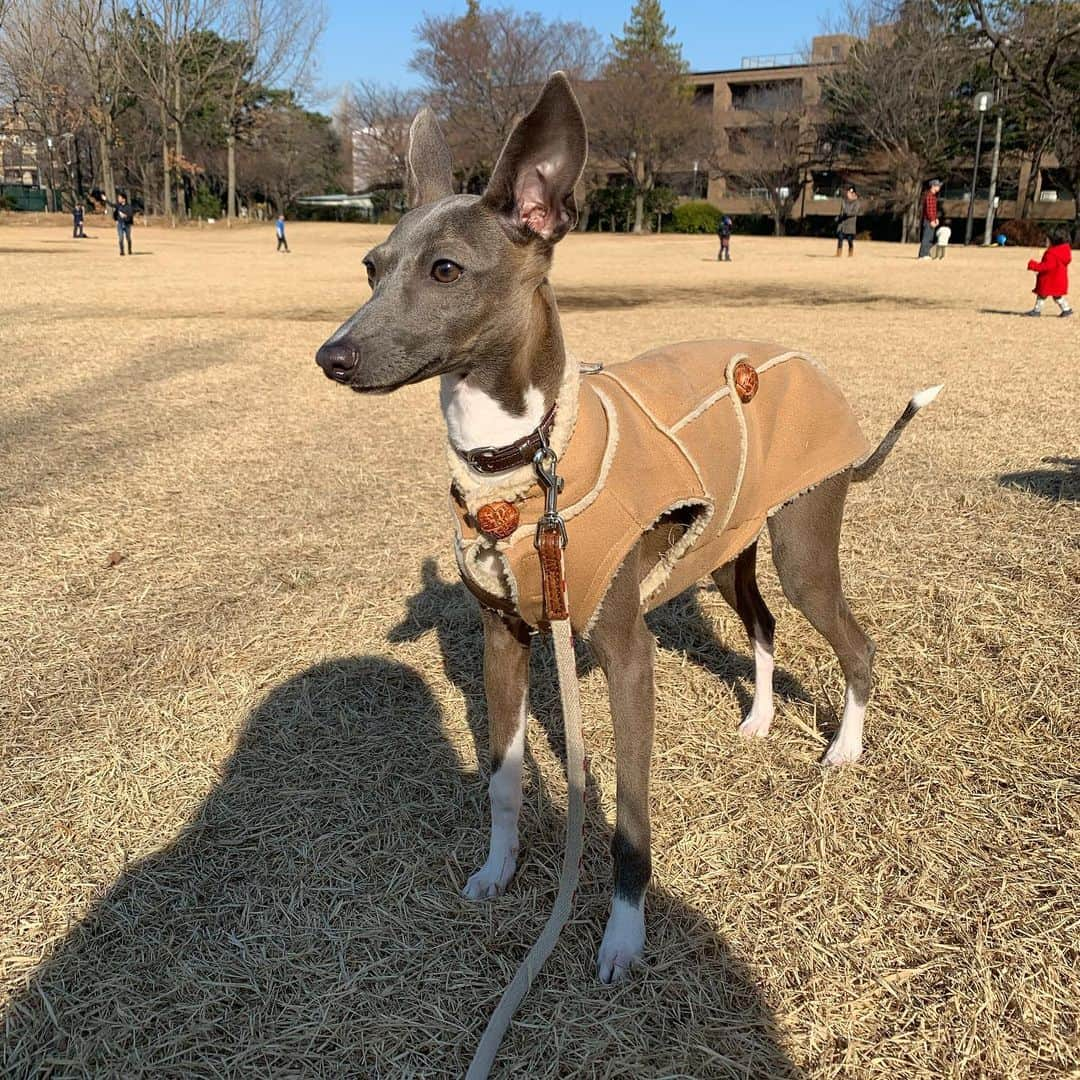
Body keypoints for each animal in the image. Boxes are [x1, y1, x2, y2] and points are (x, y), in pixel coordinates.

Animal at [315, 71, 941, 984]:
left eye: (445, 270)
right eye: (370, 267)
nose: (332, 357)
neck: (524, 466)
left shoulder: (625, 651)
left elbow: (629, 813)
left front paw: (622, 935)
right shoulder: (504, 638)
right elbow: (503, 778)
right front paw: (499, 870)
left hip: (801, 541)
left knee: (854, 643)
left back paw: (844, 750)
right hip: (726, 547)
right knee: (763, 624)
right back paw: (759, 720)